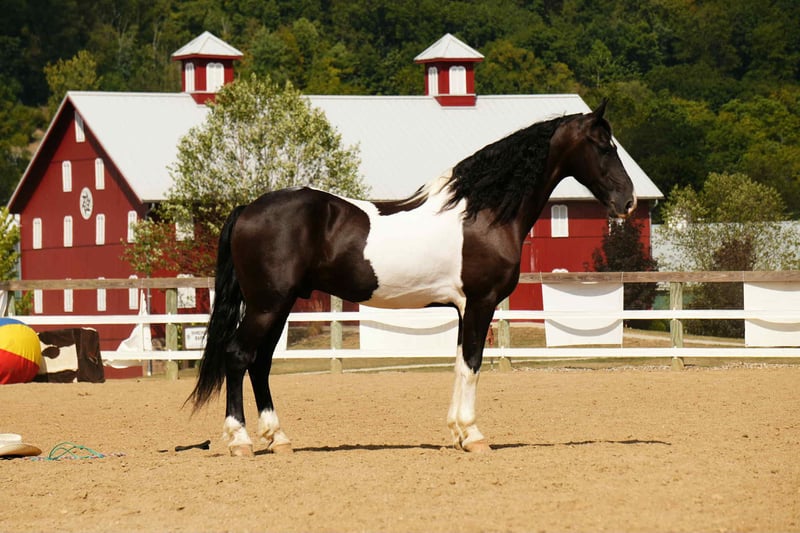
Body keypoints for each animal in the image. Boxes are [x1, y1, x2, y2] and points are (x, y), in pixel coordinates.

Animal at [188, 100, 637, 456]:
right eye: (603, 146)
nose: (628, 201)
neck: (482, 213)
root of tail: (247, 208)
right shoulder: (481, 303)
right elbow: (473, 364)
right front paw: (473, 435)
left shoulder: (463, 308)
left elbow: (459, 364)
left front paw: (457, 433)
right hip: (267, 305)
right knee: (239, 356)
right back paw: (241, 441)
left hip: (278, 306)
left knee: (260, 363)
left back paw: (278, 439)